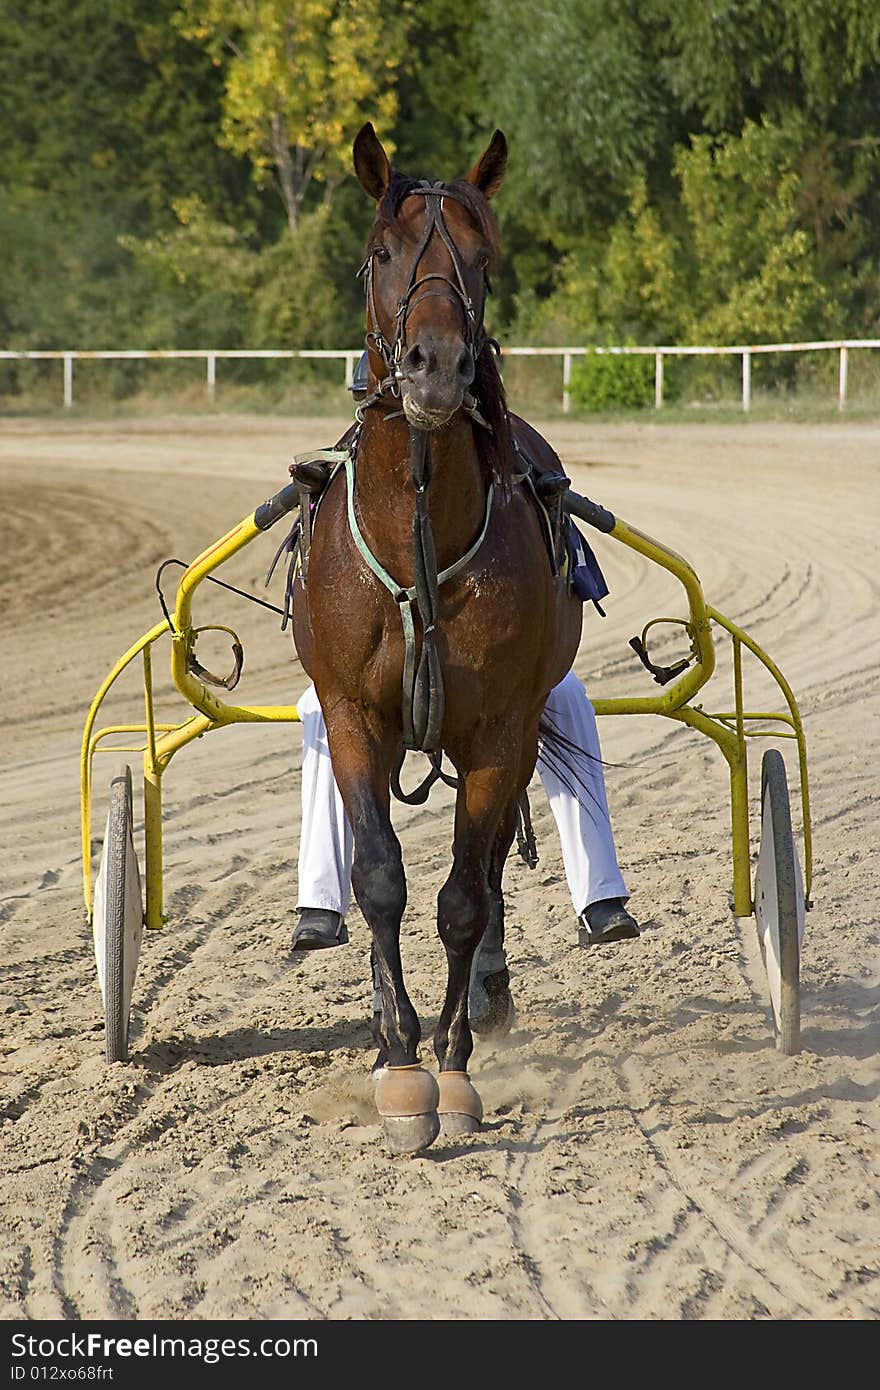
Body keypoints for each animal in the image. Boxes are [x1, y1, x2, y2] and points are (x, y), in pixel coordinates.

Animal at [293, 127, 583, 1150]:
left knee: (488, 866)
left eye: (482, 258)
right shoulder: (352, 717)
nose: (436, 368)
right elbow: (378, 877)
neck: (416, 537)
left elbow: (464, 895)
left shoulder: (498, 729)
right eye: (383, 253)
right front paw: (398, 1057)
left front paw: (451, 1068)